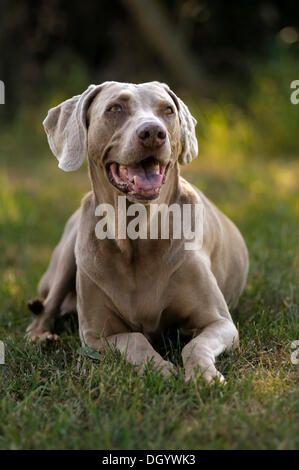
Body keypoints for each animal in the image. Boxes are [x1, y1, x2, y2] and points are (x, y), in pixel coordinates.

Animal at [27, 81, 250, 382]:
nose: (153, 133)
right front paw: (160, 369)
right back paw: (41, 336)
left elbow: (195, 344)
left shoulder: (221, 323)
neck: (136, 234)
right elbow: (135, 339)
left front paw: (204, 375)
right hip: (68, 253)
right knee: (47, 307)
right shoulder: (95, 336)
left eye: (167, 110)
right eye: (115, 109)